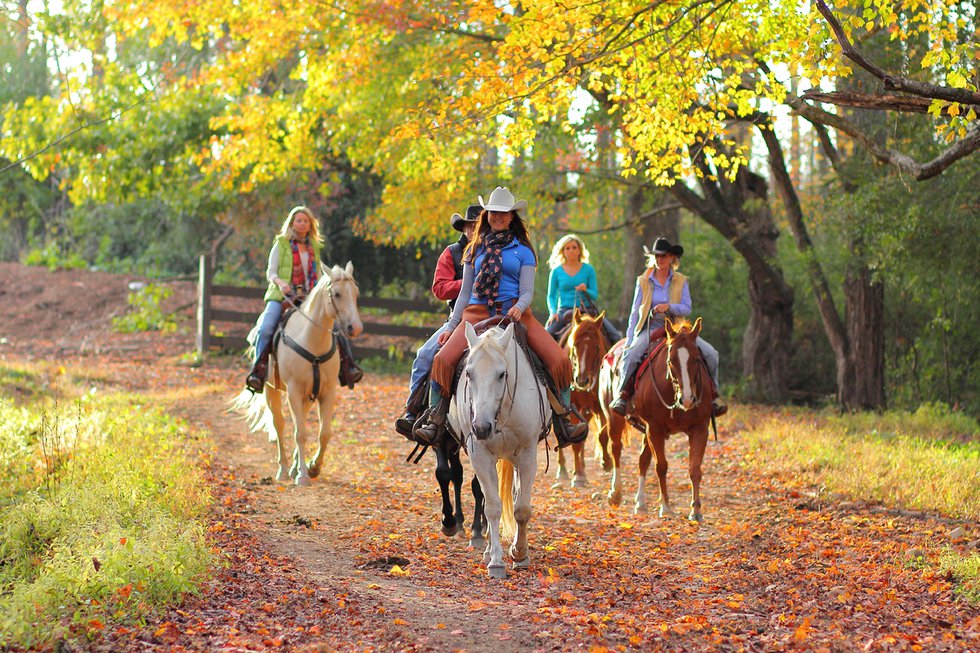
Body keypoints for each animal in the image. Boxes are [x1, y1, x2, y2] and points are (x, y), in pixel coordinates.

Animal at [234, 262, 364, 486]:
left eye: (355, 292)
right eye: (337, 294)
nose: (354, 328)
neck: (312, 342)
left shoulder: (327, 392)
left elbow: (324, 433)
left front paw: (313, 467)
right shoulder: (293, 391)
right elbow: (300, 433)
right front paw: (303, 474)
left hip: (308, 396)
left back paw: (294, 466)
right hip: (271, 390)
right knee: (280, 425)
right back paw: (285, 470)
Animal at [446, 318, 548, 580]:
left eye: (502, 374)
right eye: (468, 373)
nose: (481, 427)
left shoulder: (527, 454)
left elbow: (522, 508)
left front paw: (519, 554)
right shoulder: (480, 456)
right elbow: (492, 506)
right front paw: (496, 561)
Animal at [560, 308, 612, 486]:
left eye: (596, 347)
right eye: (574, 345)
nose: (581, 380)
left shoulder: (600, 407)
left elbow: (603, 434)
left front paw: (606, 462)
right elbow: (576, 443)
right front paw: (578, 477)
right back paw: (563, 470)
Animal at [596, 316, 712, 520]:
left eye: (697, 359)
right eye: (671, 360)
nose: (687, 399)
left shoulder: (700, 428)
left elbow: (694, 468)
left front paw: (696, 510)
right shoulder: (655, 428)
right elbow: (661, 466)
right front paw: (665, 507)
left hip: (645, 431)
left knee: (642, 460)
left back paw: (640, 503)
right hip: (614, 418)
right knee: (616, 449)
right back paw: (615, 493)